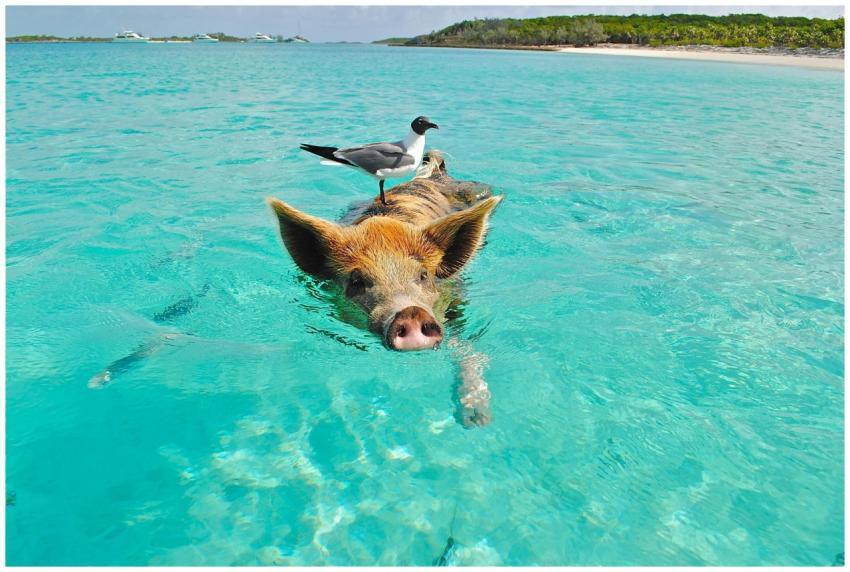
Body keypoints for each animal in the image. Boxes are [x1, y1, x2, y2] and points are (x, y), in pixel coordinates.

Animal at [268, 151, 502, 426]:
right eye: (356, 281)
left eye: (423, 275)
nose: (411, 312)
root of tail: (432, 174)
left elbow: (466, 348)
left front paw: (476, 419)